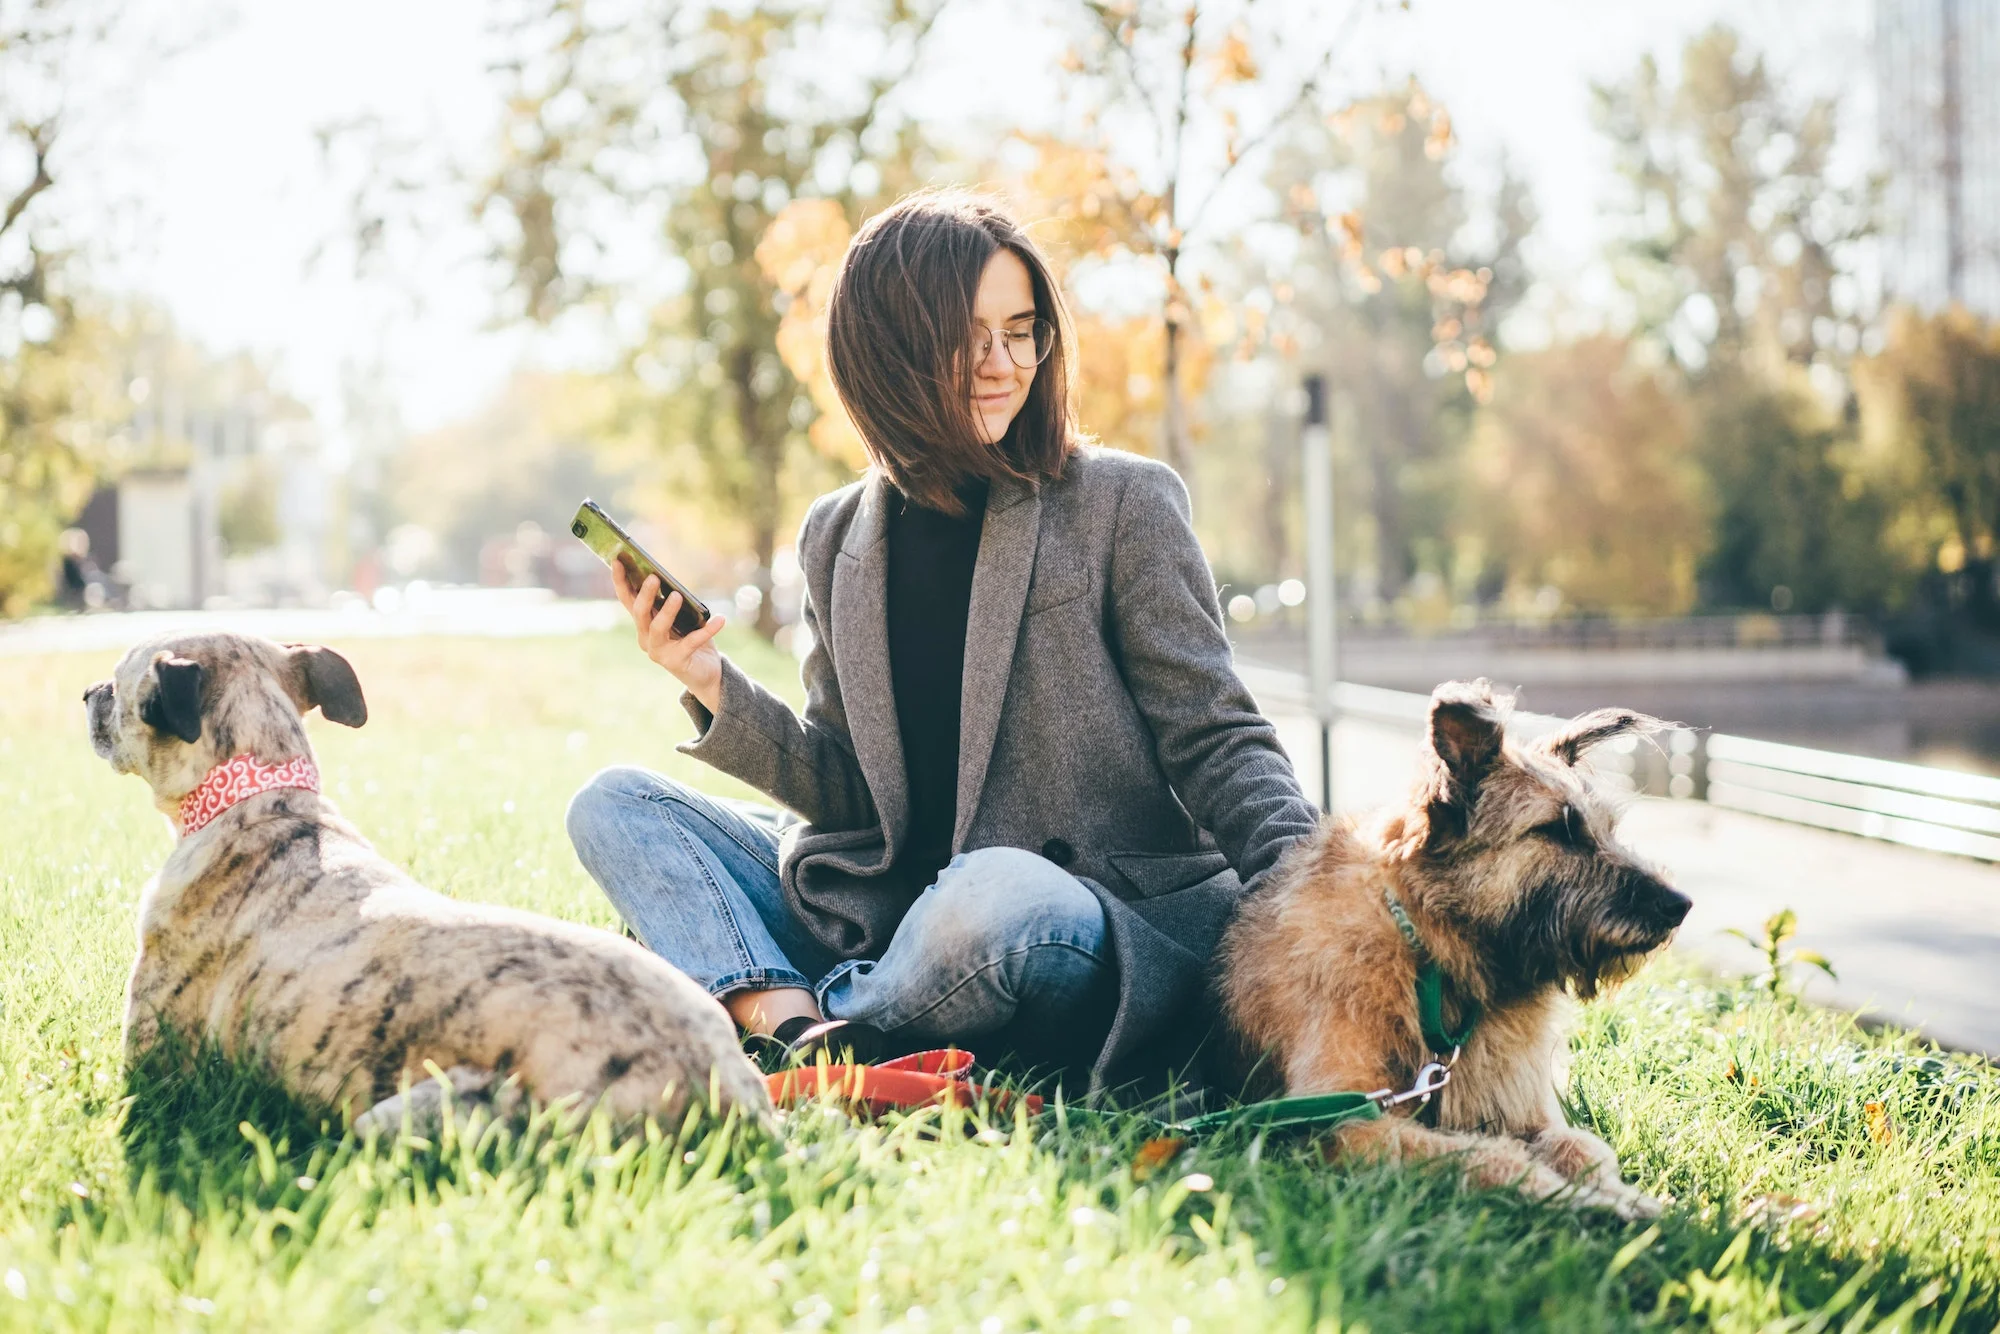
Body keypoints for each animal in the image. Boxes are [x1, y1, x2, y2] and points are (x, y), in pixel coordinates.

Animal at [88, 636, 772, 1136]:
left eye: (117, 684)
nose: (88, 691)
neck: (264, 802)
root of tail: (730, 1094)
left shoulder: (151, 1063)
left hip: (422, 1111)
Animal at [1216, 684, 1688, 1216]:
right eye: (1556, 830)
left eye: (1607, 828)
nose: (1680, 905)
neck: (1436, 959)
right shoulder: (1345, 1122)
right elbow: (1483, 1157)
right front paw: (1583, 1202)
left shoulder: (1525, 1109)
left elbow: (1580, 1147)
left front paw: (1626, 1197)